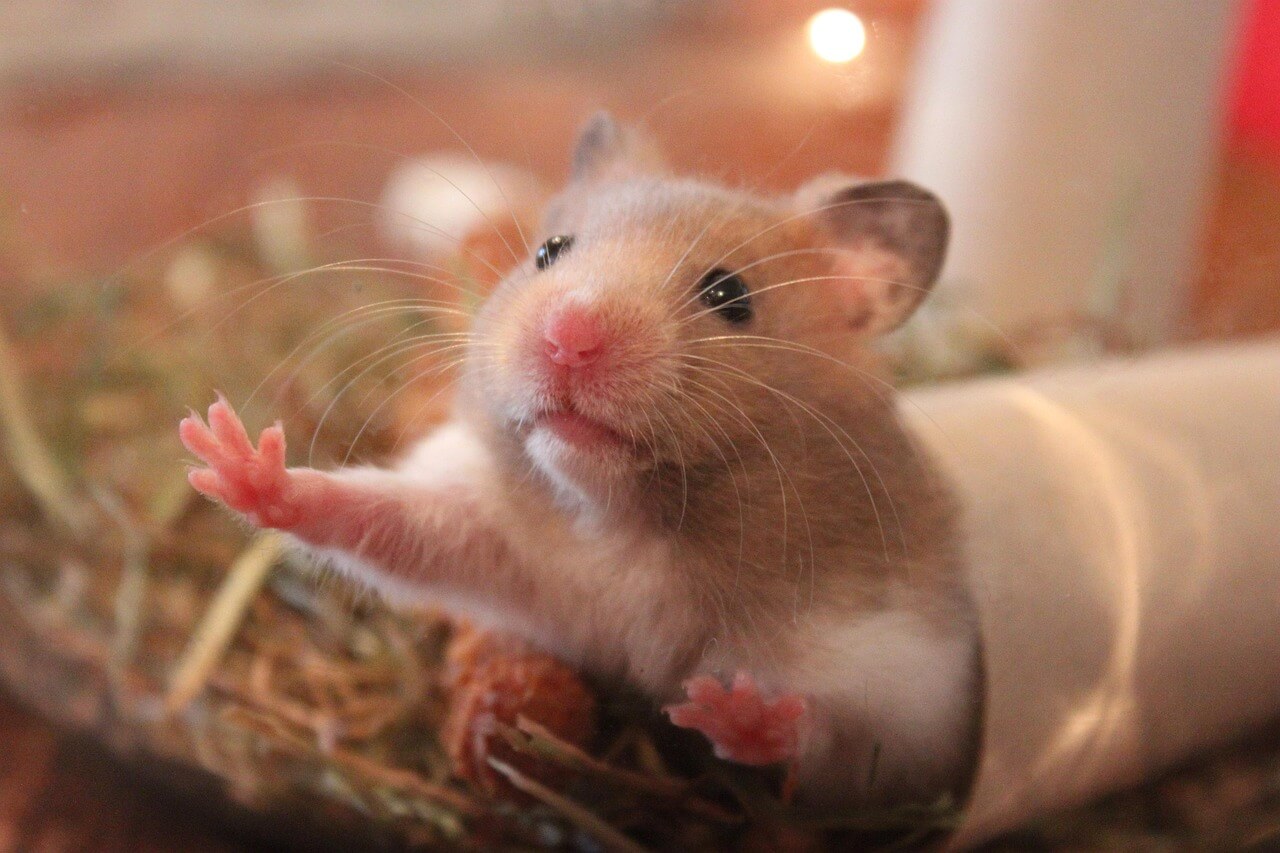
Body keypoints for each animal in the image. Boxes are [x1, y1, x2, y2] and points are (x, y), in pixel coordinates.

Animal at [179, 113, 980, 808]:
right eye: (550, 250)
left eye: (731, 294)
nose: (569, 334)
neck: (625, 522)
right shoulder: (497, 537)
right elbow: (379, 516)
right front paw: (232, 457)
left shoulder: (905, 671)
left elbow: (838, 730)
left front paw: (731, 709)